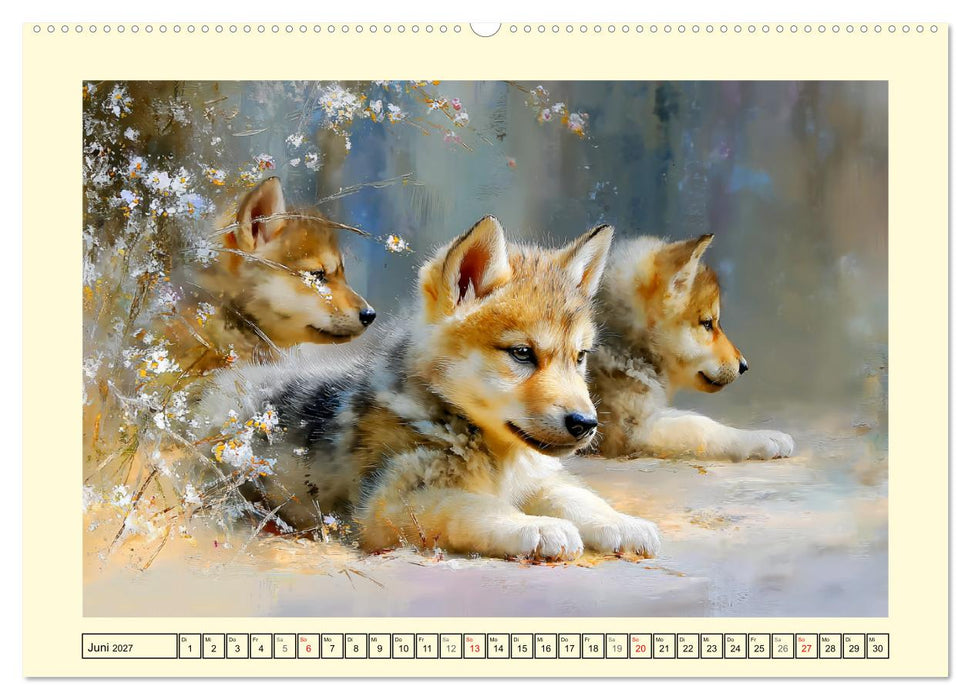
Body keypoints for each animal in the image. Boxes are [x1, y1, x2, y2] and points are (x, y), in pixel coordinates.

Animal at [201, 216, 660, 560]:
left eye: (579, 357)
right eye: (522, 353)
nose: (586, 424)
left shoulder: (539, 478)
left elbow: (578, 497)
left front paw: (620, 521)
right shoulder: (387, 505)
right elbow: (476, 505)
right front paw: (537, 526)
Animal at [589, 234, 794, 461]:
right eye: (707, 323)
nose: (744, 366)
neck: (627, 345)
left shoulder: (649, 410)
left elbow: (690, 415)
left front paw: (768, 434)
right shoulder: (625, 431)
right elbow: (700, 425)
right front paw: (761, 439)